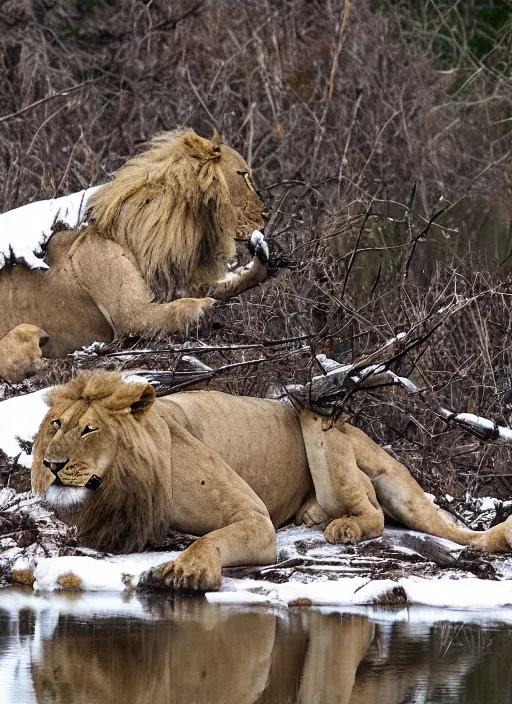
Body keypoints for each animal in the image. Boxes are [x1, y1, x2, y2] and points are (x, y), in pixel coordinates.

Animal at [0, 129, 270, 368]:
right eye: (243, 174)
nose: (266, 214)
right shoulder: (132, 315)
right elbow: (177, 309)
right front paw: (207, 309)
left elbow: (222, 285)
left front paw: (262, 261)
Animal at [31, 372, 512, 592]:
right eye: (56, 424)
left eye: (89, 430)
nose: (52, 464)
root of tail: (365, 435)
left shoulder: (256, 519)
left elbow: (211, 539)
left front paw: (188, 568)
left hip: (314, 412)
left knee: (374, 509)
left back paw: (344, 527)